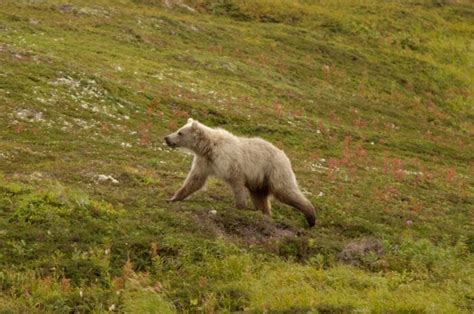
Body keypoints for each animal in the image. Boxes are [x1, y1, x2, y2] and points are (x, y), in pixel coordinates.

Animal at [165, 118, 316, 226]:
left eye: (180, 132)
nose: (166, 138)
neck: (208, 148)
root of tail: (284, 154)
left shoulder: (229, 161)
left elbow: (236, 183)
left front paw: (240, 206)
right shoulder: (204, 162)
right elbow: (194, 181)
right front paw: (173, 198)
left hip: (275, 170)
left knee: (285, 191)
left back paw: (311, 217)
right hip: (259, 181)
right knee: (259, 196)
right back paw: (265, 213)